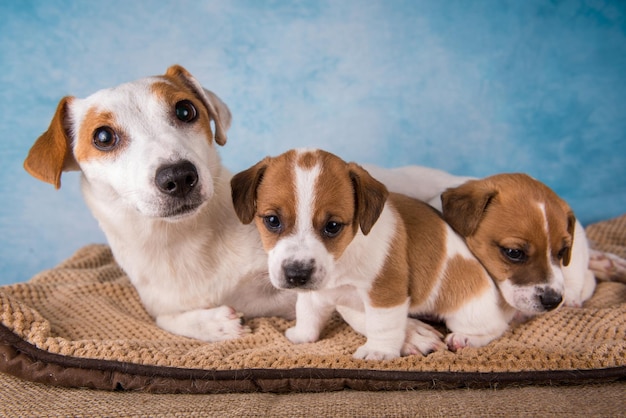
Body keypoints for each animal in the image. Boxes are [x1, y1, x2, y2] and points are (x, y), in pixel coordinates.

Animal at [23, 63, 294, 342]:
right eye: (103, 137)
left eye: (185, 110)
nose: (179, 176)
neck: (180, 239)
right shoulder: (159, 306)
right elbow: (165, 320)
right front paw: (214, 324)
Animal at [232, 149, 516, 358]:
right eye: (272, 220)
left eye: (332, 226)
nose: (297, 274)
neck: (342, 261)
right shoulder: (315, 294)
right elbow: (308, 312)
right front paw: (302, 336)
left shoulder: (385, 292)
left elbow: (382, 325)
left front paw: (379, 352)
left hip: (467, 313)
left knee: (495, 328)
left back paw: (466, 338)